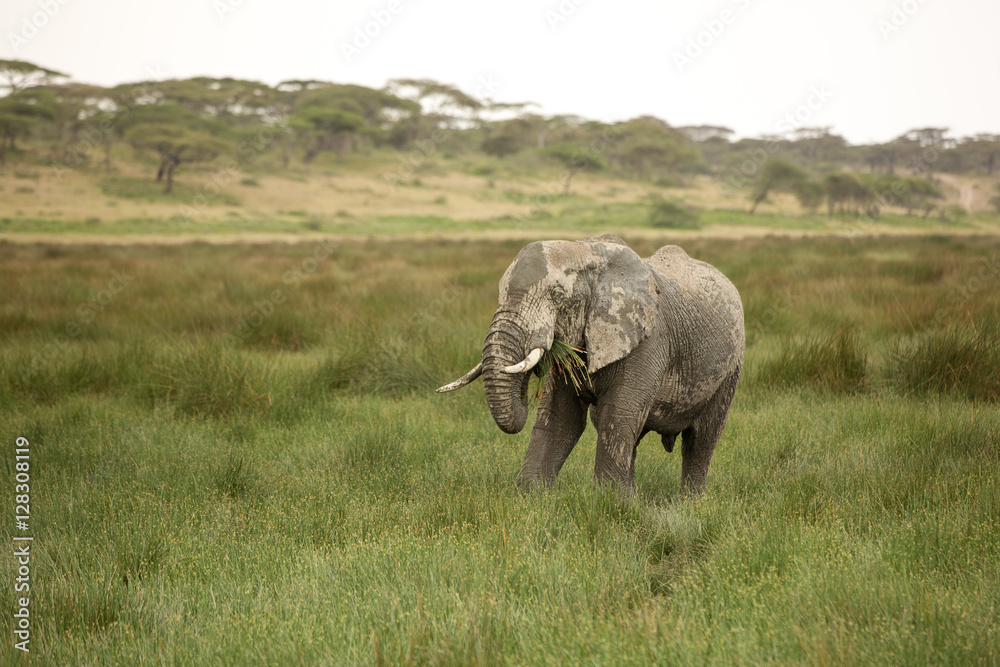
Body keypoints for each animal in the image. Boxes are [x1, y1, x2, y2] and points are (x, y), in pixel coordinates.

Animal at [437, 234, 744, 494]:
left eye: (558, 296)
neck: (585, 250)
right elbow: (561, 418)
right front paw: (530, 498)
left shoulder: (648, 340)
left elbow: (618, 414)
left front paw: (608, 503)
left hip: (732, 366)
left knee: (702, 439)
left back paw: (688, 503)